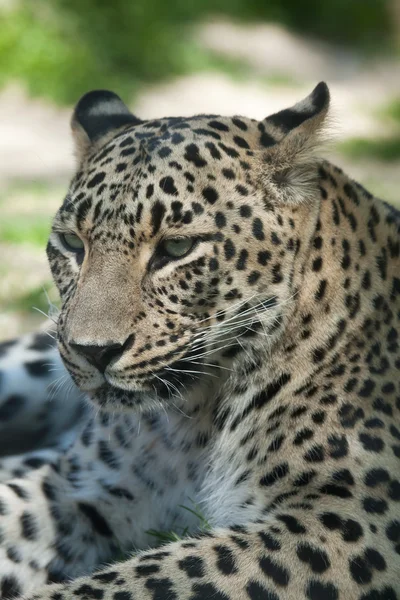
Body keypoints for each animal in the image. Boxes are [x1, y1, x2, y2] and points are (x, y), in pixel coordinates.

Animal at [0, 81, 398, 600]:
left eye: (177, 248)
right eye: (72, 244)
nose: (93, 351)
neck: (194, 422)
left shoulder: (347, 523)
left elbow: (134, 581)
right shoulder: (78, 486)